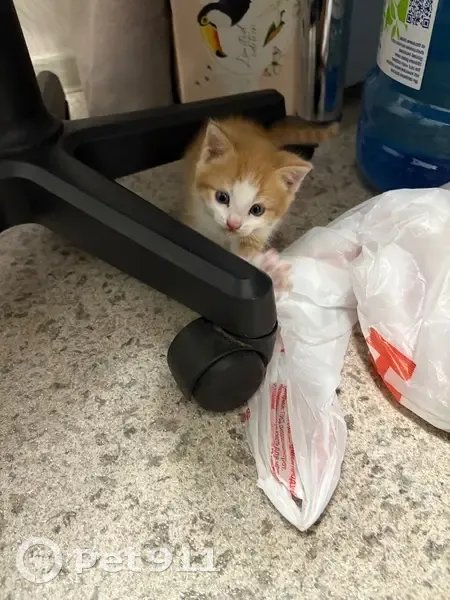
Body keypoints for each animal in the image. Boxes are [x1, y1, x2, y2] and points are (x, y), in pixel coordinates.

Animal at [181, 116, 339, 291]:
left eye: (257, 209)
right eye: (222, 197)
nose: (233, 225)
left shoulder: (257, 232)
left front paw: (271, 273)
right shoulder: (195, 219)